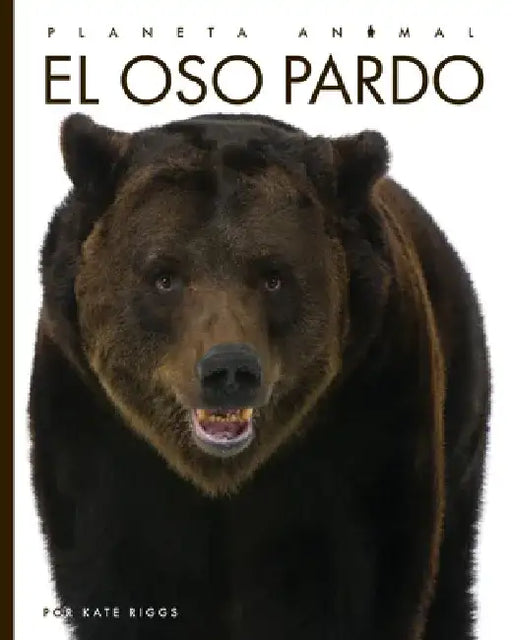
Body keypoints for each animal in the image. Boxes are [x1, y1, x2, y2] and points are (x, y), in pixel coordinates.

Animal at [29, 112, 489, 640]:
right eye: (164, 276)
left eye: (273, 276)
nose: (229, 368)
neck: (222, 478)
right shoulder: (103, 441)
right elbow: (126, 580)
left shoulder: (363, 430)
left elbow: (359, 585)